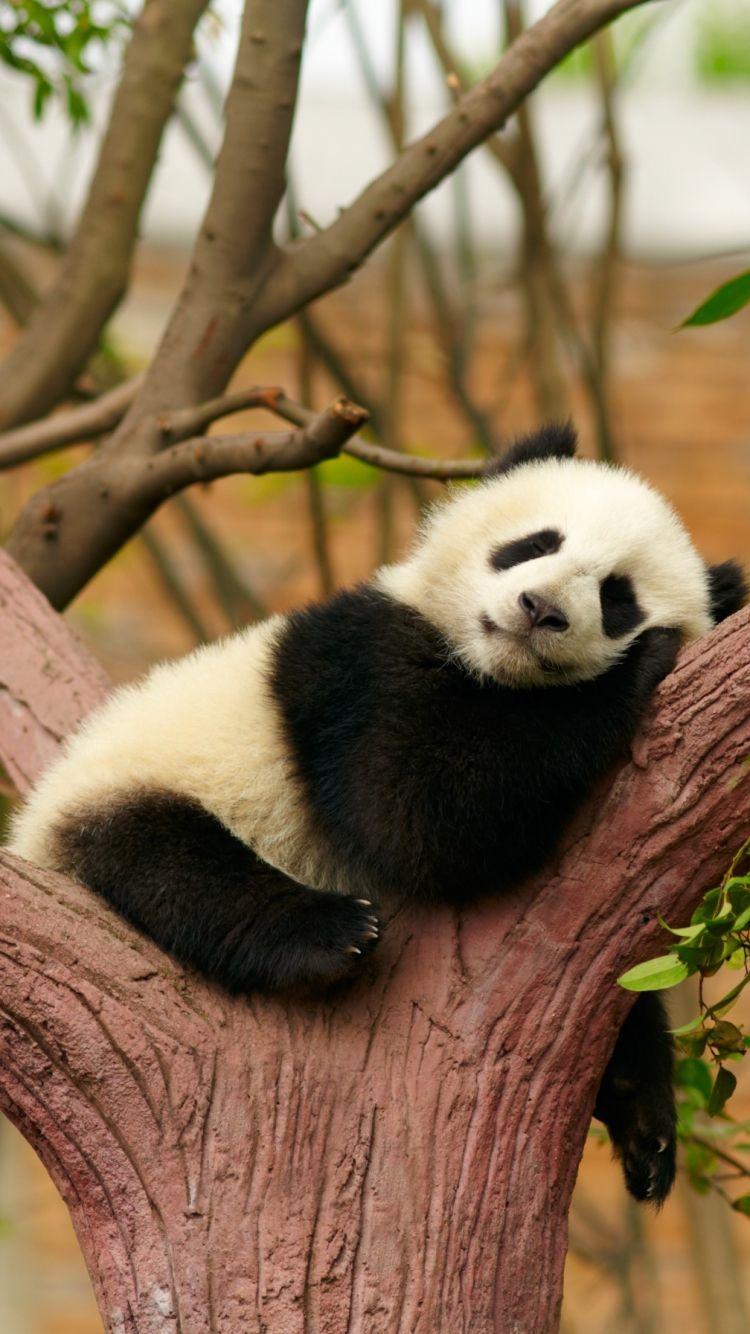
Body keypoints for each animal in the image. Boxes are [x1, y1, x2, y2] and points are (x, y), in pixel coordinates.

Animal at [9, 423, 746, 1205]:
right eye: (535, 544)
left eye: (617, 597)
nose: (540, 608)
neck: (491, 670)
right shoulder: (357, 664)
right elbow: (414, 812)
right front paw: (638, 668)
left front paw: (644, 1119)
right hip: (129, 786)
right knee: (170, 861)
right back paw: (328, 933)